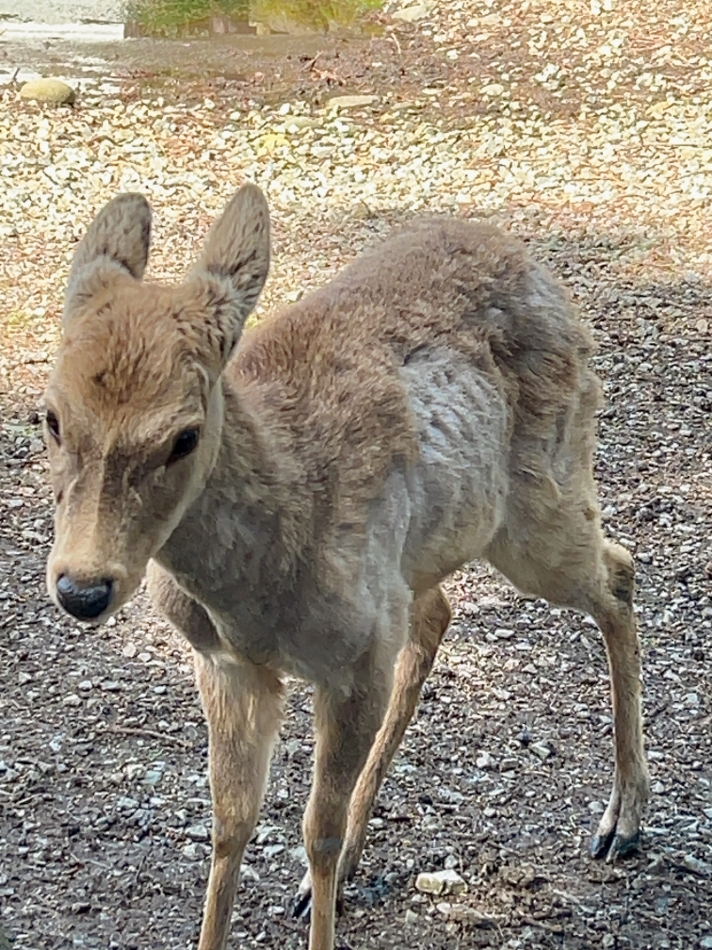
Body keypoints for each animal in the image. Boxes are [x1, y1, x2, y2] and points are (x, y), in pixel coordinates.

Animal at [43, 183, 649, 950]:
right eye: (51, 417)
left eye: (184, 436)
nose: (83, 587)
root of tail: (539, 268)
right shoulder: (222, 662)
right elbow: (230, 823)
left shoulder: (355, 661)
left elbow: (315, 832)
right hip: (430, 551)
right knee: (441, 610)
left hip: (540, 500)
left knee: (618, 570)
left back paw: (623, 821)